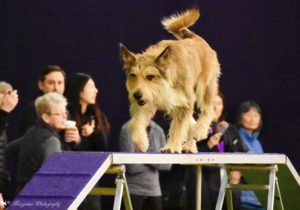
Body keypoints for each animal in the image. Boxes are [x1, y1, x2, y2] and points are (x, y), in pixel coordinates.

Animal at [119, 8, 220, 153]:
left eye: (150, 77)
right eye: (133, 76)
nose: (136, 95)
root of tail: (195, 38)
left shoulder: (184, 103)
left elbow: (178, 128)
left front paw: (171, 147)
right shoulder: (147, 100)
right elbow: (137, 121)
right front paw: (141, 141)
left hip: (204, 87)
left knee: (208, 111)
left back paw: (198, 131)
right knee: (191, 123)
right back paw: (190, 145)